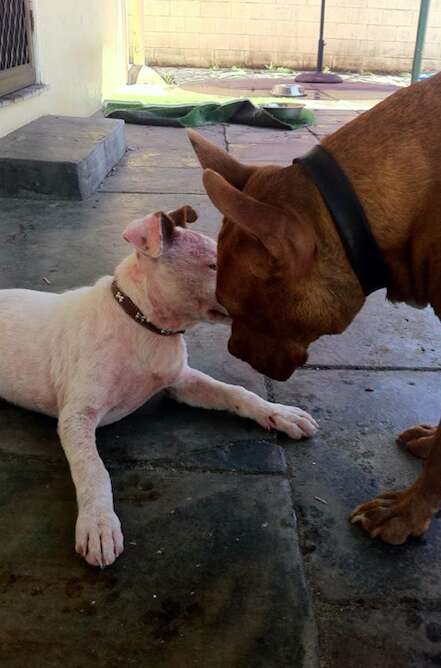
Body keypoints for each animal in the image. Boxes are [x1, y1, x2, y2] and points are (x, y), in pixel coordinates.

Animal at [0, 206, 316, 568]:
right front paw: (98, 523)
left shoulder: (181, 382)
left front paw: (280, 414)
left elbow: (237, 393)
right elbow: (93, 468)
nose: (277, 303)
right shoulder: (77, 416)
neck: (143, 323)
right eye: (214, 265)